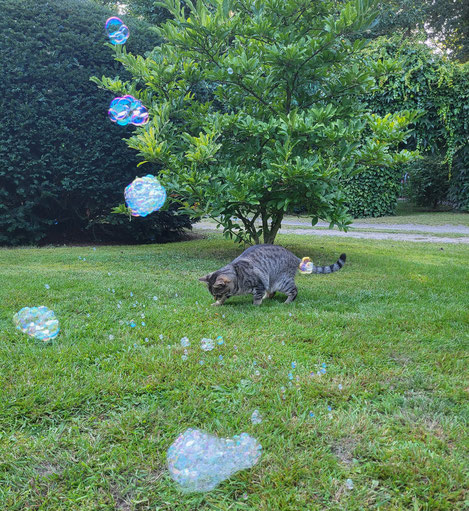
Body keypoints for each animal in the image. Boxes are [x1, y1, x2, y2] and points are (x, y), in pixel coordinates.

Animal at [196, 246, 346, 306]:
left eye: (216, 293)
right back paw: (268, 298)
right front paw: (217, 303)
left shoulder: (259, 284)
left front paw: (255, 305)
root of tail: (294, 256)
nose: (215, 297)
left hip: (282, 282)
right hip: (272, 281)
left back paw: (287, 302)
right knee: (271, 292)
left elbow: (256, 297)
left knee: (294, 291)